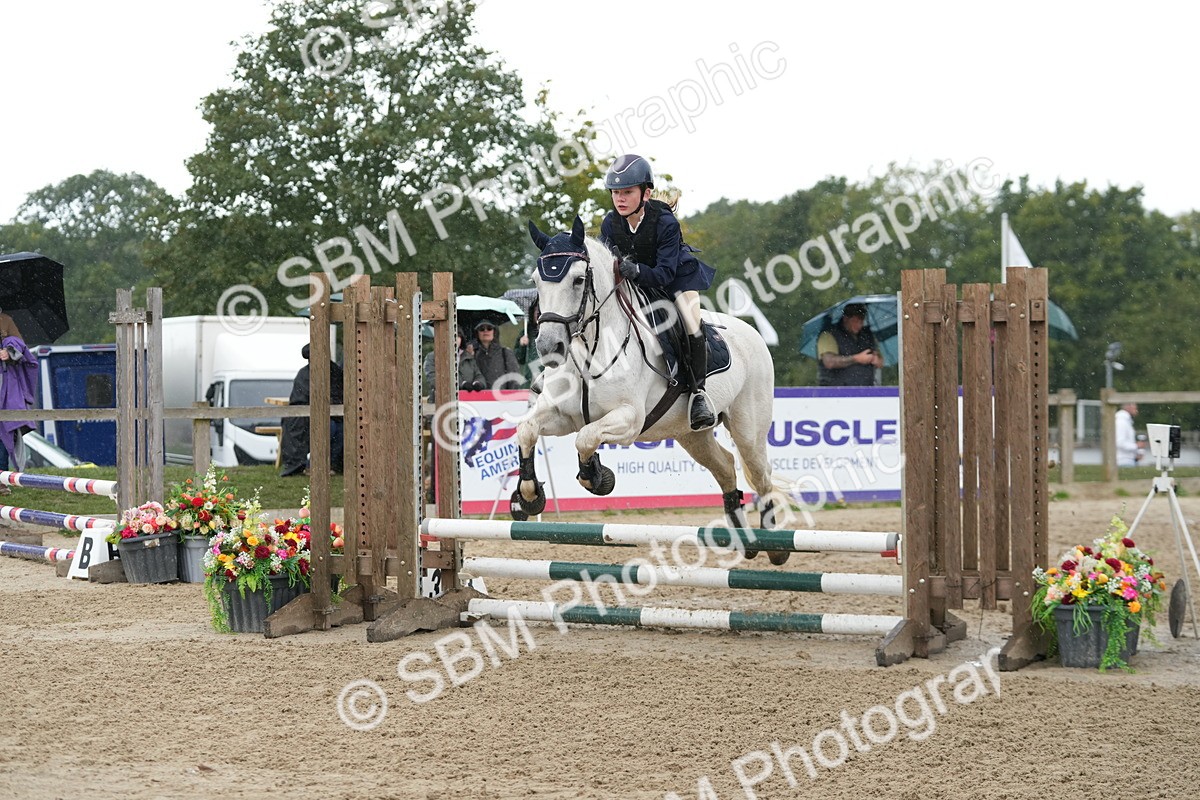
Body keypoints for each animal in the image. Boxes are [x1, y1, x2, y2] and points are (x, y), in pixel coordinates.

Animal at [514, 216, 790, 564]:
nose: (550, 347)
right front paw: (529, 496)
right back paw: (743, 538)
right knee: (726, 466)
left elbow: (586, 438)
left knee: (761, 474)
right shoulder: (562, 415)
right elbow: (527, 430)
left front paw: (598, 477)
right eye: (537, 281)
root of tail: (751, 333)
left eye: (578, 280)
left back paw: (775, 545)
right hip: (690, 434)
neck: (592, 347)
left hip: (748, 427)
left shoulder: (630, 419)